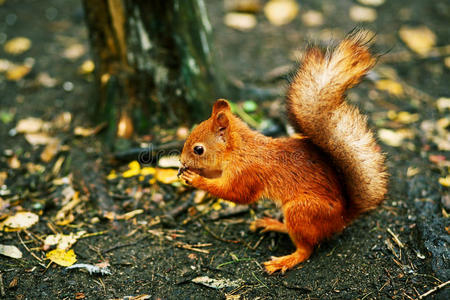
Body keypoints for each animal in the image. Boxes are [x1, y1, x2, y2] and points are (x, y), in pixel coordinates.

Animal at [178, 29, 388, 274]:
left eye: (198, 149)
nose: (181, 161)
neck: (240, 149)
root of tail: (343, 217)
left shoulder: (247, 172)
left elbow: (236, 194)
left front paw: (196, 179)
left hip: (301, 211)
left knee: (306, 249)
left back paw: (284, 260)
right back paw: (272, 224)